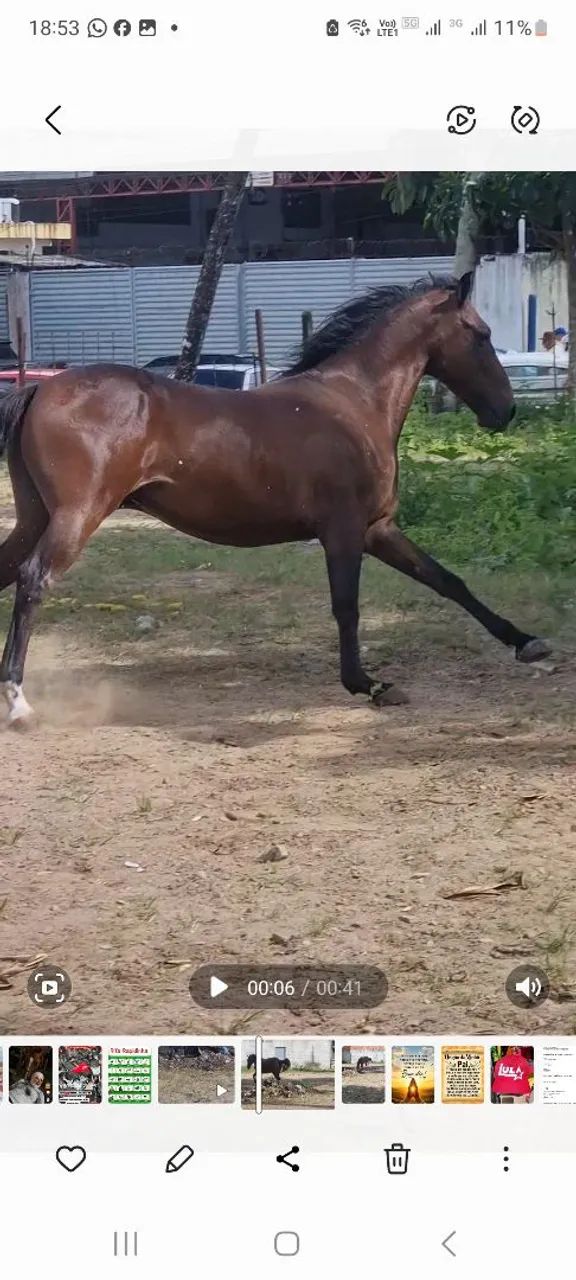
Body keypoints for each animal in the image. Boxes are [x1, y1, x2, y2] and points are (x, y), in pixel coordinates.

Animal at [0, 272, 550, 727]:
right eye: (480, 334)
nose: (506, 410)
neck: (354, 404)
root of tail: (39, 391)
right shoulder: (344, 531)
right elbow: (347, 606)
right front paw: (368, 684)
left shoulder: (379, 529)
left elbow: (447, 580)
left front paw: (528, 643)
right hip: (77, 516)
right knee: (33, 580)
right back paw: (19, 702)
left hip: (34, 517)